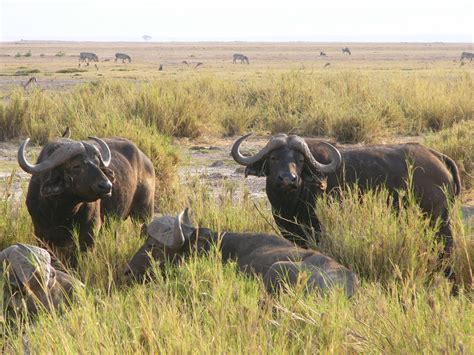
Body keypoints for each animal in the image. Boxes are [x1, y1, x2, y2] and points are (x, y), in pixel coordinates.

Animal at [18, 136, 156, 253]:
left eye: (97, 163)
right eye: (76, 165)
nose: (107, 186)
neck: (60, 212)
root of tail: (146, 161)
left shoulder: (90, 233)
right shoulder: (41, 233)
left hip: (144, 212)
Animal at [231, 134, 462, 256]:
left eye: (300, 160)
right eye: (273, 158)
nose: (288, 179)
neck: (290, 202)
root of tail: (436, 156)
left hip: (439, 222)